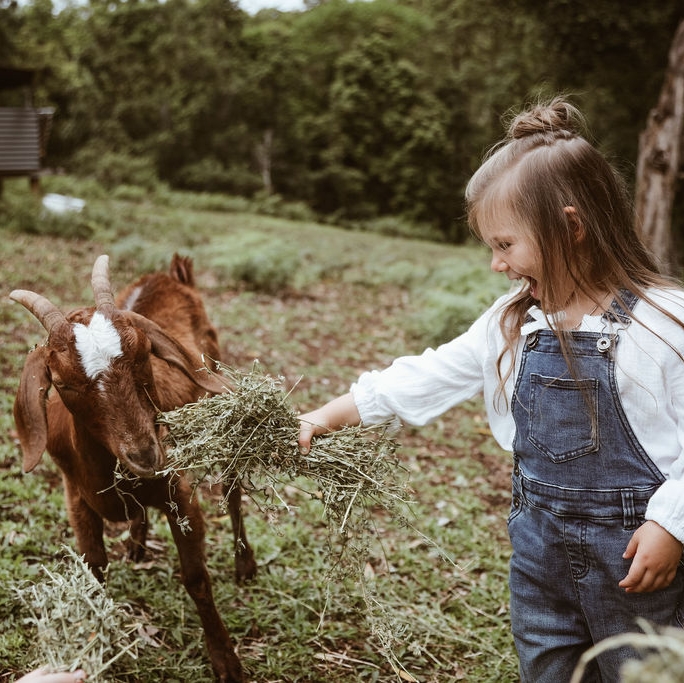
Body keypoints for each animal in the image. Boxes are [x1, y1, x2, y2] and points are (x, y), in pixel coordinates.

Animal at [10, 256, 256, 683]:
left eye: (144, 353)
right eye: (62, 383)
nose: (144, 454)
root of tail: (171, 274)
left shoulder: (179, 492)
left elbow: (196, 578)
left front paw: (226, 662)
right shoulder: (76, 498)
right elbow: (95, 571)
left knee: (233, 489)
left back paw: (245, 564)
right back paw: (138, 543)